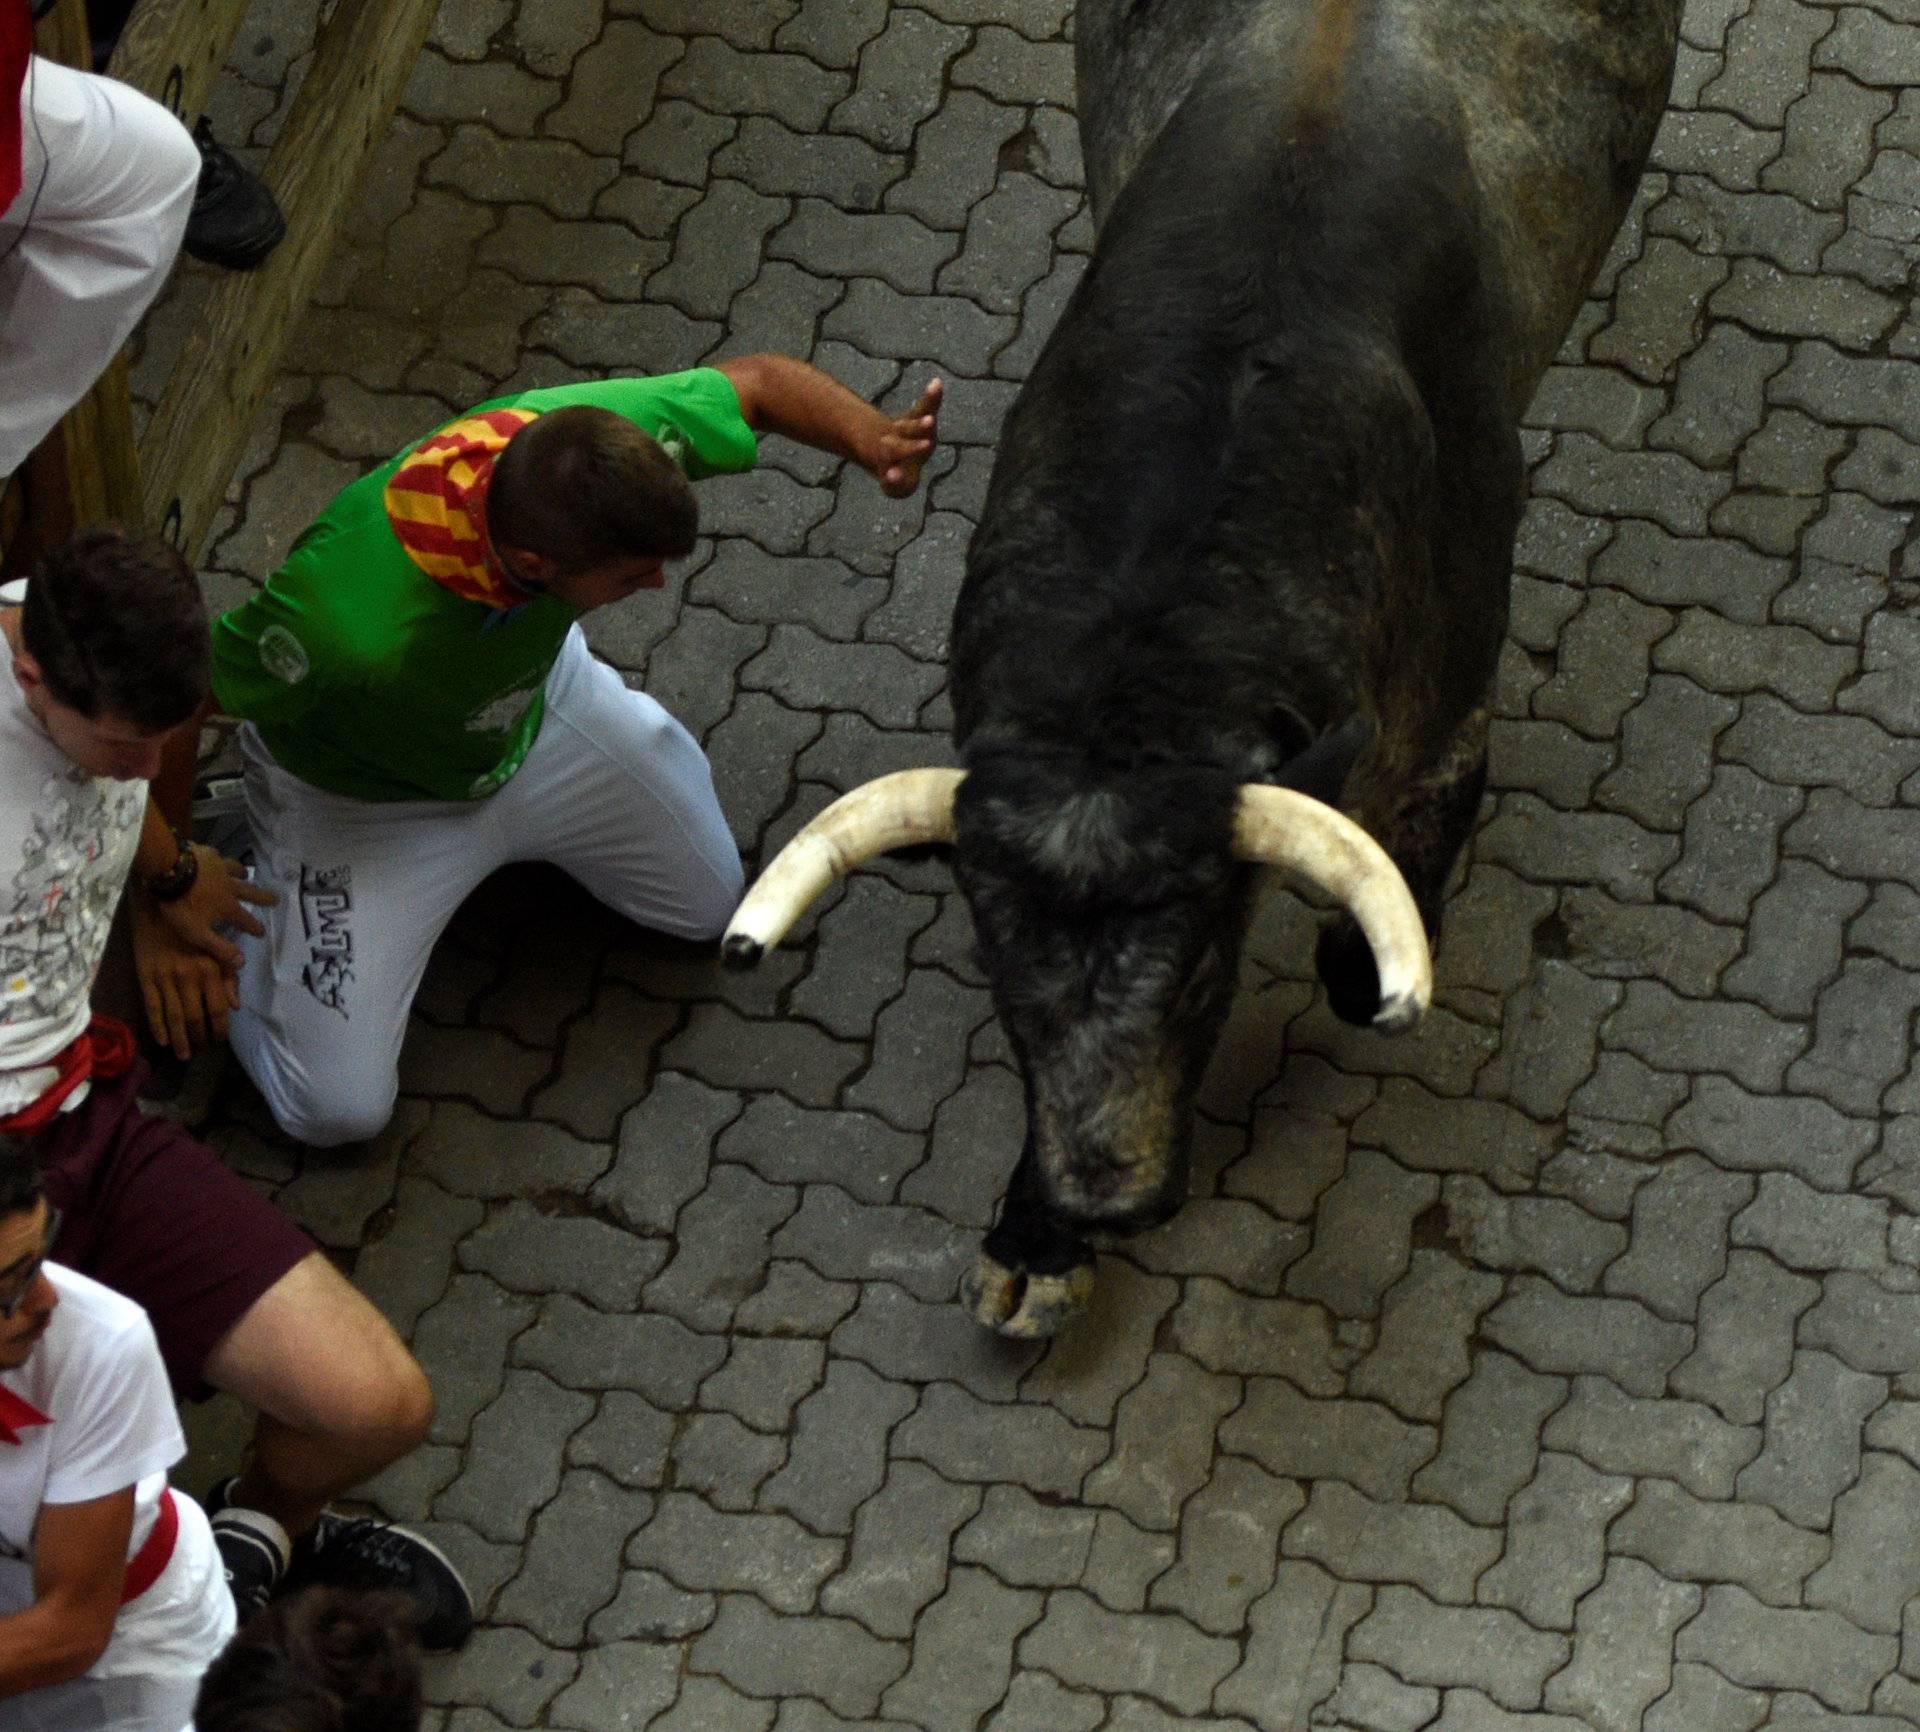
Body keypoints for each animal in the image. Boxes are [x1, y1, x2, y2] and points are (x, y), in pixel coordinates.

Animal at [733, 0, 1681, 1344]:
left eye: (1198, 982)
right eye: (1010, 1000)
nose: (1108, 1196)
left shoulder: (1442, 713)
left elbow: (1364, 951)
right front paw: (1037, 1238)